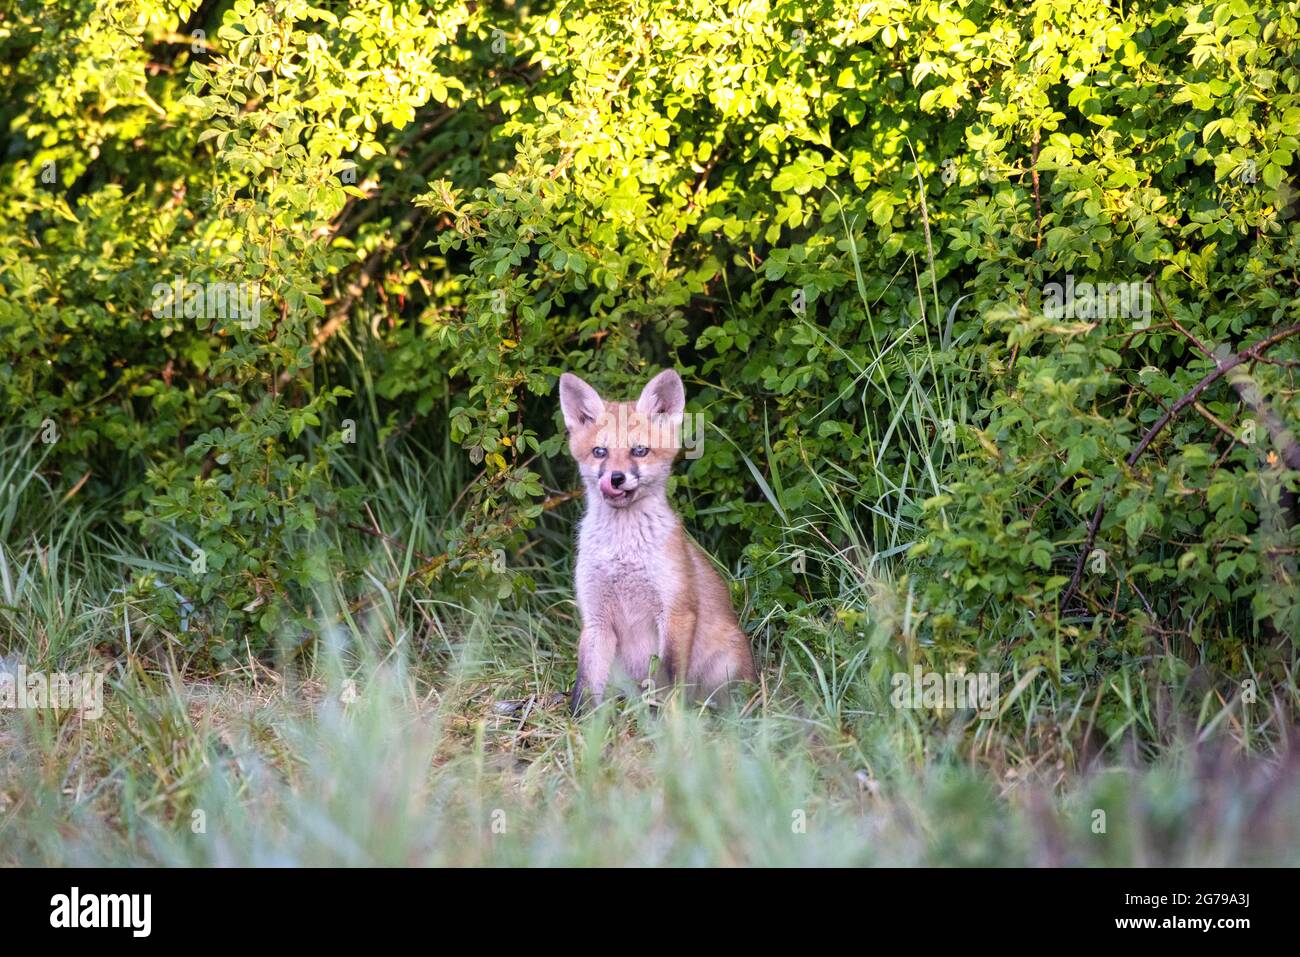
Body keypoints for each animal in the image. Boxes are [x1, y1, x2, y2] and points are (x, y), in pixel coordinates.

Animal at [556, 366, 759, 712]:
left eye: (639, 451)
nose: (616, 478)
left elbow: (670, 678)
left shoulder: (675, 611)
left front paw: (671, 721)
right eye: (600, 452)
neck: (623, 553)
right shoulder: (595, 619)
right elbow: (585, 685)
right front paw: (581, 724)